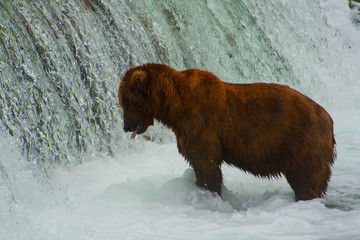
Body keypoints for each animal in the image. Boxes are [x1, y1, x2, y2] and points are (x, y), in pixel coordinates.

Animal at [117, 63, 334, 201]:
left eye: (125, 102)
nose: (126, 126)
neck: (175, 106)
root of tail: (326, 115)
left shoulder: (202, 123)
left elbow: (207, 163)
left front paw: (212, 193)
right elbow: (197, 162)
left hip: (301, 141)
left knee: (306, 177)